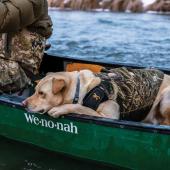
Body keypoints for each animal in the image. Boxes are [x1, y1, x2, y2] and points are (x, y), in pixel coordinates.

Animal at [22, 67, 170, 125]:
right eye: (35, 90)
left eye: (42, 93)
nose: (23, 103)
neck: (79, 89)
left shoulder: (109, 116)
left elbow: (81, 107)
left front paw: (60, 109)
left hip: (165, 100)